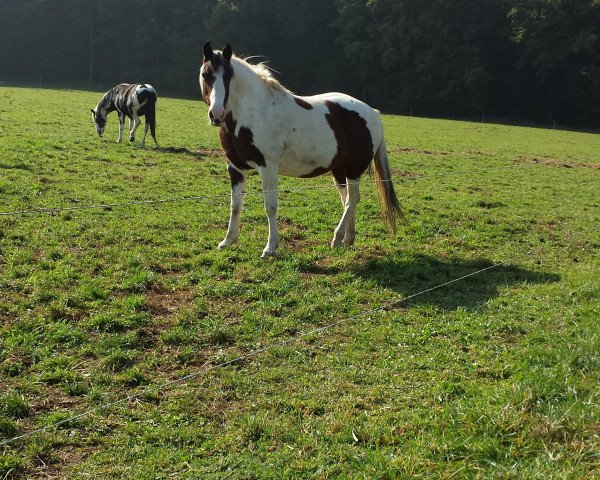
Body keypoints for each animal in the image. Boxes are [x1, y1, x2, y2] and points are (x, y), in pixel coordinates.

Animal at [200, 43, 404, 256]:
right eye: (206, 74)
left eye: (228, 76)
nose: (216, 114)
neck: (253, 112)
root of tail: (372, 112)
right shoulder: (236, 168)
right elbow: (235, 205)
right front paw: (228, 241)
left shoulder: (267, 167)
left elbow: (270, 206)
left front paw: (270, 247)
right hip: (339, 169)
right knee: (347, 198)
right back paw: (347, 238)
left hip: (354, 169)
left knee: (352, 199)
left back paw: (337, 237)